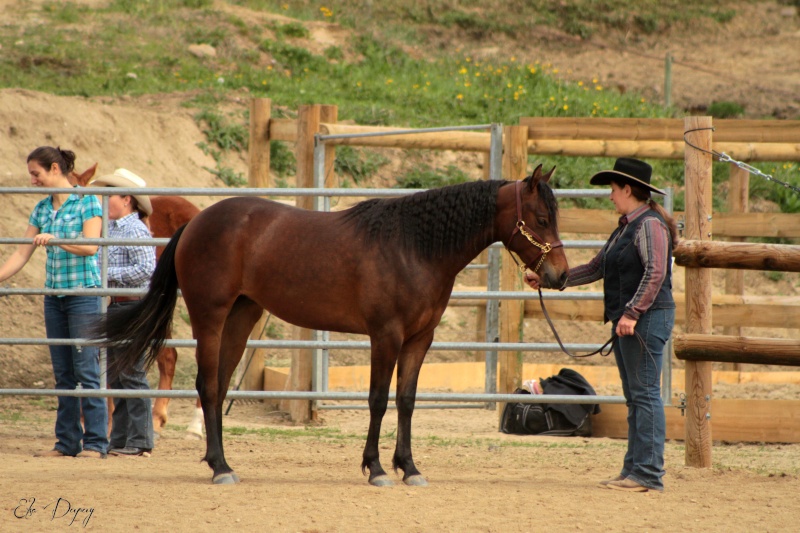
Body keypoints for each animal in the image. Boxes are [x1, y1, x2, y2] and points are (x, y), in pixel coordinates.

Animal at [95, 164, 568, 484]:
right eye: (542, 219)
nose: (559, 276)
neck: (413, 247)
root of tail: (196, 222)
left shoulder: (419, 340)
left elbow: (406, 401)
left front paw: (409, 467)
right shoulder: (385, 336)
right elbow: (377, 400)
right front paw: (376, 468)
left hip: (242, 316)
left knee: (221, 385)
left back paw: (220, 462)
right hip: (209, 316)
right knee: (208, 385)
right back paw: (221, 467)